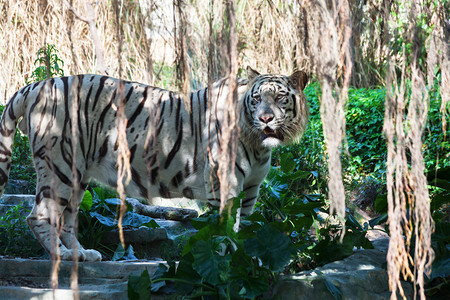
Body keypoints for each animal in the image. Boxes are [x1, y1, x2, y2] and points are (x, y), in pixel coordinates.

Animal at [0, 67, 308, 262]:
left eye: (279, 97)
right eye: (256, 99)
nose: (266, 118)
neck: (258, 145)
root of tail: (36, 85)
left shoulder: (251, 189)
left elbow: (244, 225)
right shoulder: (224, 184)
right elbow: (224, 229)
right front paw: (228, 259)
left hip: (77, 174)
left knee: (66, 219)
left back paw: (82, 255)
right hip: (59, 166)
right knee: (39, 215)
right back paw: (61, 256)